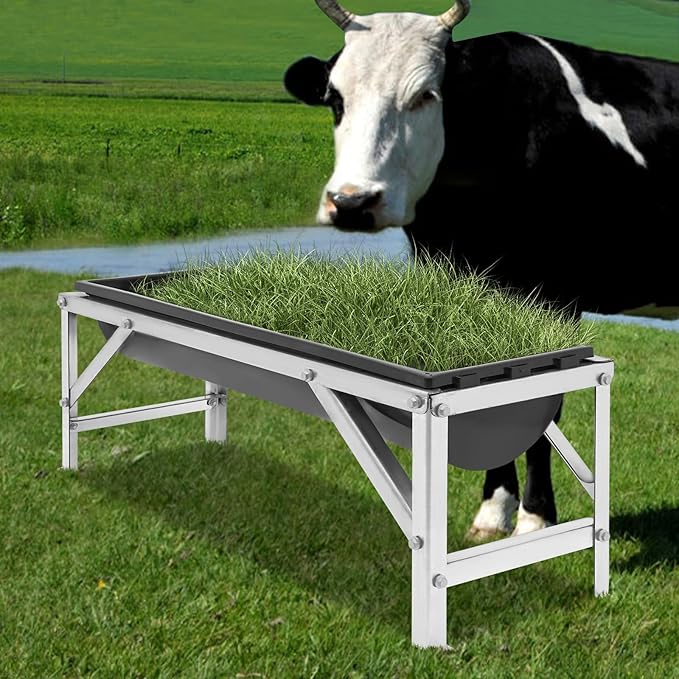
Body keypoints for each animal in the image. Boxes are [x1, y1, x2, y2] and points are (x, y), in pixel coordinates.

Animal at [284, 0, 679, 539]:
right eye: (335, 98)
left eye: (426, 95)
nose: (352, 202)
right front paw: (494, 511)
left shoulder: (553, 297)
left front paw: (534, 515)